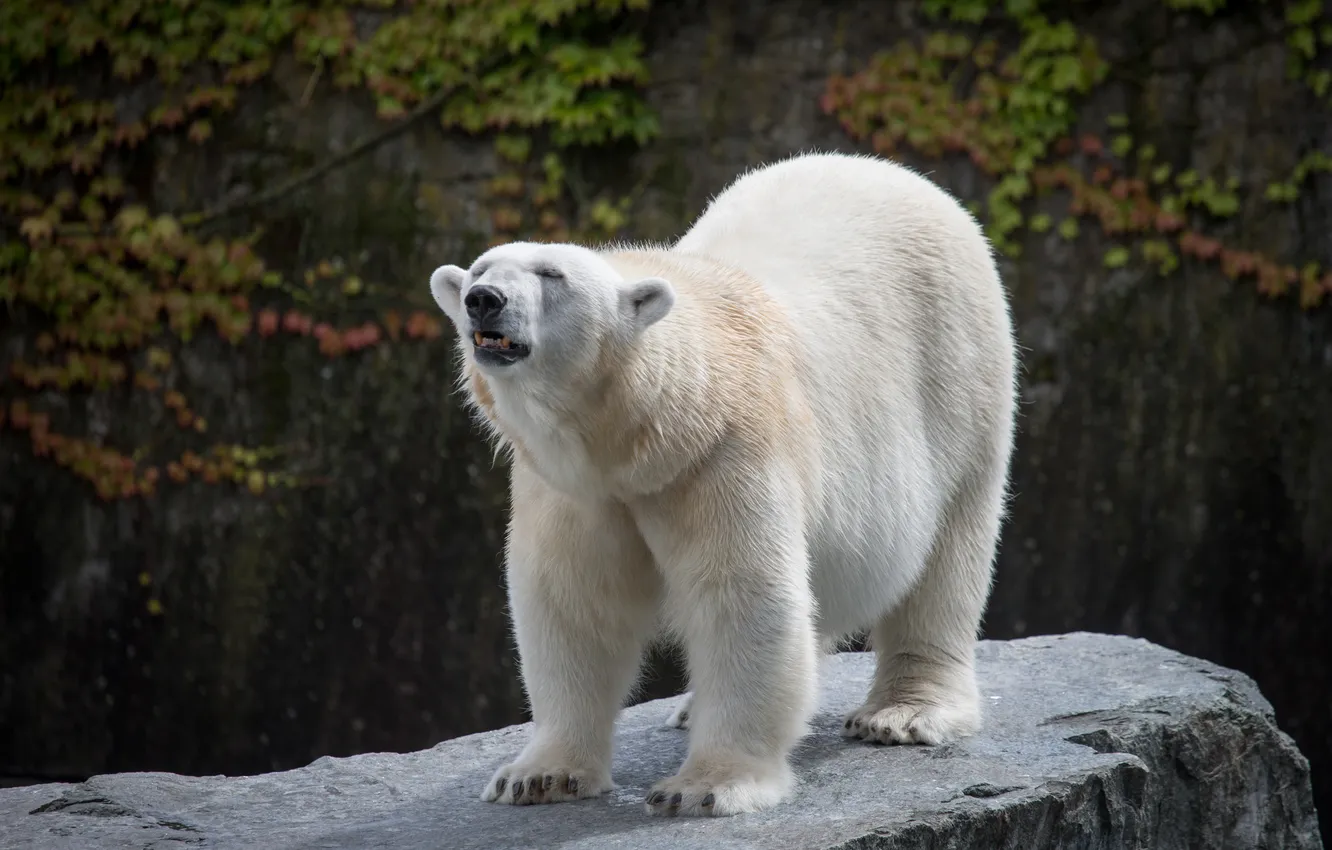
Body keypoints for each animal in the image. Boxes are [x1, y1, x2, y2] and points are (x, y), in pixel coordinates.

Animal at [428, 151, 1018, 818]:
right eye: (478, 269)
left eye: (552, 274)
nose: (483, 300)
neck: (641, 434)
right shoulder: (573, 487)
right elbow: (573, 602)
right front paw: (537, 776)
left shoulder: (720, 454)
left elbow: (742, 595)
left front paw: (704, 787)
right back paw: (693, 707)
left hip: (959, 373)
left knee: (948, 551)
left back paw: (905, 712)